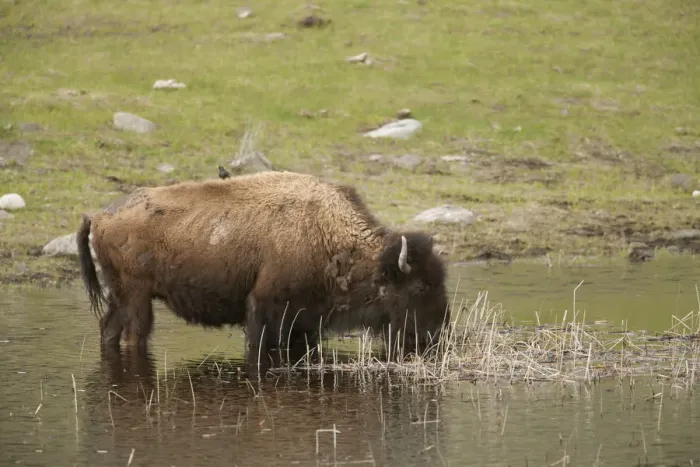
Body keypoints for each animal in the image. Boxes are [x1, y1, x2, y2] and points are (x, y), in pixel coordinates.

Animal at [77, 171, 450, 373]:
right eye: (419, 287)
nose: (438, 333)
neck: (325, 232)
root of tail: (99, 216)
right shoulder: (265, 308)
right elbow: (259, 346)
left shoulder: (306, 323)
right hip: (137, 297)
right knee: (134, 334)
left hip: (119, 296)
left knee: (109, 329)